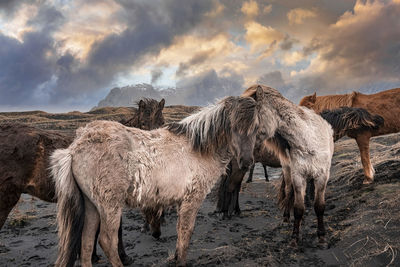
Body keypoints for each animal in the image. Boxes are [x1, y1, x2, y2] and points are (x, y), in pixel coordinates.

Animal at [0, 97, 166, 264]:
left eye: (162, 122)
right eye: (143, 123)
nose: (157, 233)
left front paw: (92, 256)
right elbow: (116, 230)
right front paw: (123, 257)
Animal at [50, 92, 262, 267]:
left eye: (256, 128)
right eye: (233, 126)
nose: (246, 162)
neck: (198, 148)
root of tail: (75, 147)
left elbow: (180, 232)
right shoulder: (191, 200)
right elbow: (186, 232)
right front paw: (180, 261)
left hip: (92, 205)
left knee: (86, 243)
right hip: (110, 205)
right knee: (107, 241)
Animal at [241, 85, 334, 247]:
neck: (308, 140)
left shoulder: (322, 176)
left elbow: (319, 206)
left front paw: (321, 237)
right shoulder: (298, 176)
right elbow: (298, 208)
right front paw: (294, 238)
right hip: (287, 170)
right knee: (288, 191)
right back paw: (286, 217)